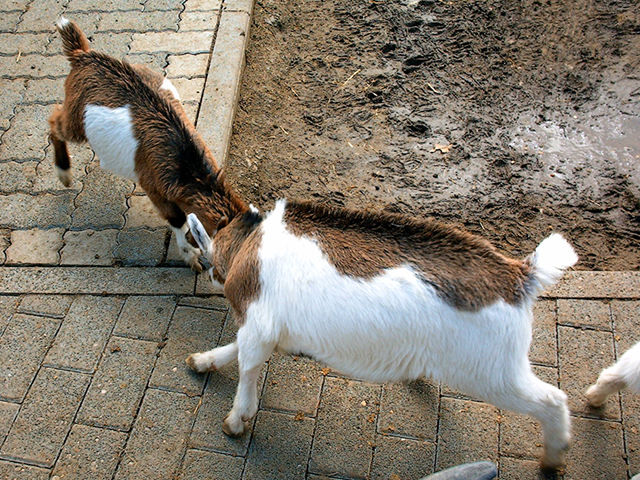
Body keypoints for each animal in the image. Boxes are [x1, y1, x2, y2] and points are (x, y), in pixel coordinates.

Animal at [49, 18, 246, 271]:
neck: (184, 162)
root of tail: (83, 54)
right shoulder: (153, 187)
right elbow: (178, 219)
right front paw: (190, 256)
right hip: (76, 121)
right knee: (54, 121)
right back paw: (63, 173)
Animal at [184, 199, 578, 469]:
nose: (205, 270)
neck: (249, 243)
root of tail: (521, 276)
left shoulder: (258, 325)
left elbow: (247, 367)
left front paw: (235, 421)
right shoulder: (268, 331)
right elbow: (236, 350)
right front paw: (202, 361)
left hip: (491, 371)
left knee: (552, 399)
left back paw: (553, 458)